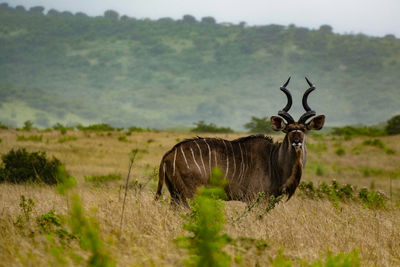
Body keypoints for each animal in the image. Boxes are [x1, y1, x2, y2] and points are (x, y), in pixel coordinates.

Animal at [154, 77, 324, 205]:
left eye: (304, 129)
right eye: (288, 130)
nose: (297, 141)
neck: (274, 160)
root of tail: (168, 154)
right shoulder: (255, 199)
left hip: (175, 195)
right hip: (188, 195)